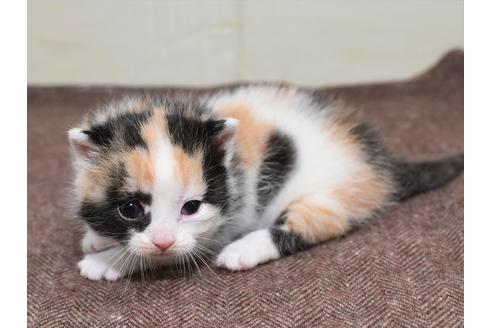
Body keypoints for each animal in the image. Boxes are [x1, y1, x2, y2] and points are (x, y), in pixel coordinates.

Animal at [67, 86, 464, 280]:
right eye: (131, 209)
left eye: (191, 208)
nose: (163, 240)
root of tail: (376, 159)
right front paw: (96, 238)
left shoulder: (219, 224)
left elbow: (168, 255)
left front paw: (105, 262)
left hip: (332, 195)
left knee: (309, 225)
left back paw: (245, 250)